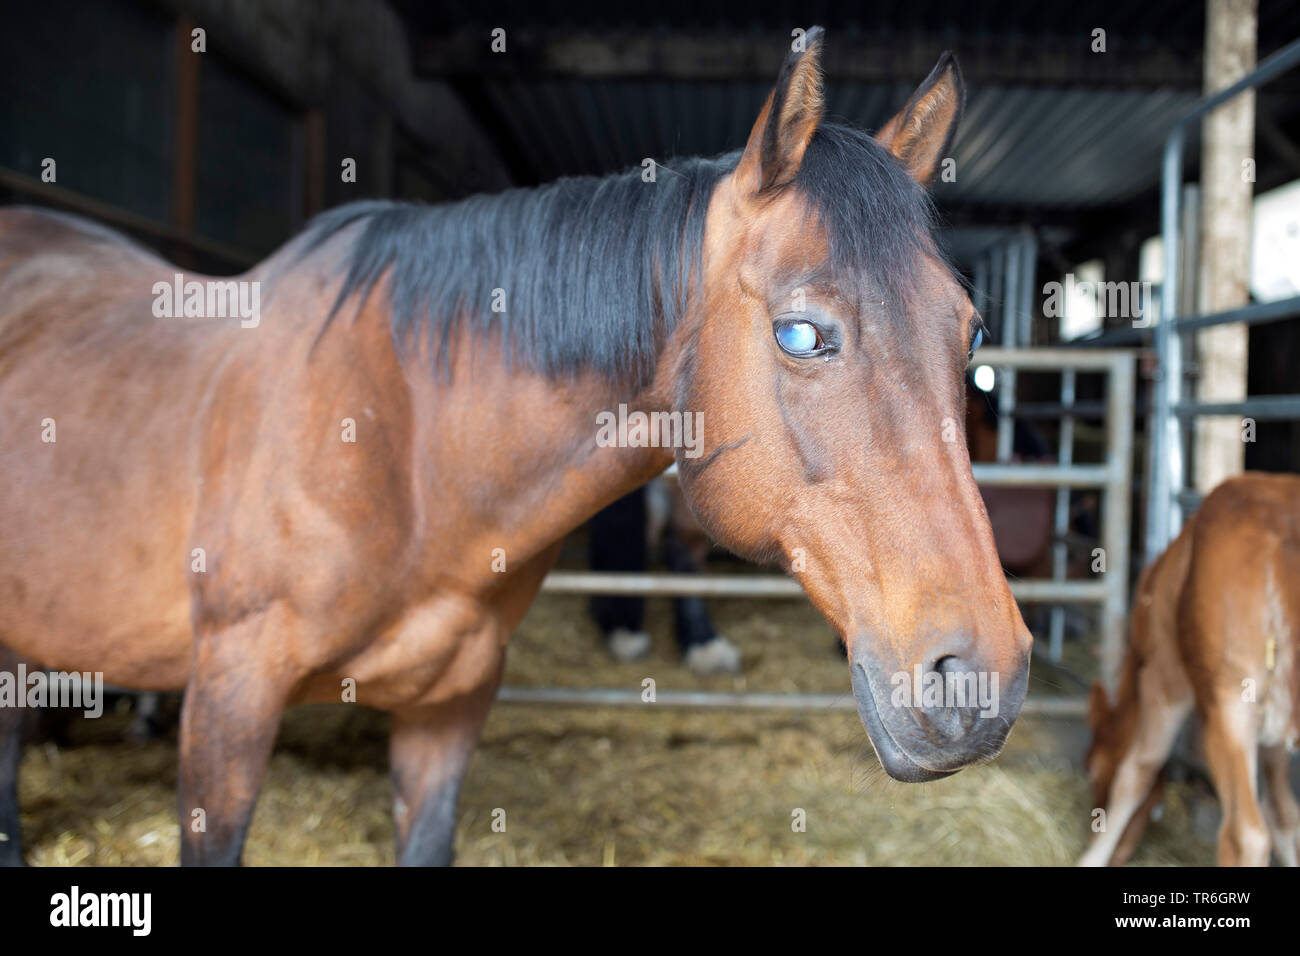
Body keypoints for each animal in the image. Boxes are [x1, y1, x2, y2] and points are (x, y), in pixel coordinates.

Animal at [0, 27, 1031, 866]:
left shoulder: (447, 710)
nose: (980, 682)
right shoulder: (228, 702)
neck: (411, 448)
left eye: (973, 332)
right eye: (801, 334)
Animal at [1081, 472, 1300, 866]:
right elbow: (1286, 818)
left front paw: (1092, 858)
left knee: (1245, 834)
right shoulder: (1275, 735)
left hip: (1230, 704)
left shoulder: (1163, 679)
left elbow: (1135, 772)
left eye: (1090, 769)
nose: (1120, 855)